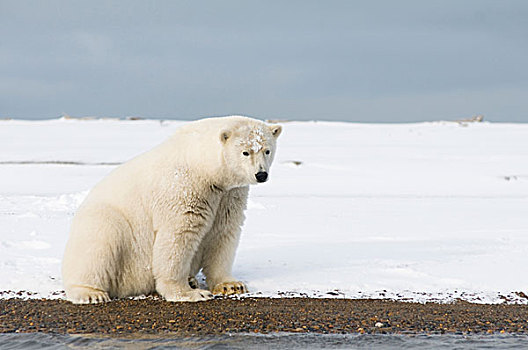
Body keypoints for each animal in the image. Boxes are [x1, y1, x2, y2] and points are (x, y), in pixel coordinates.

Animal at [61, 116, 280, 302]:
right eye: (246, 152)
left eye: (267, 150)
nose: (261, 174)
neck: (202, 166)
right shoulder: (184, 188)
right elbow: (178, 237)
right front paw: (190, 293)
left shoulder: (229, 195)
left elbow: (223, 232)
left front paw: (231, 285)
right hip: (107, 222)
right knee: (99, 244)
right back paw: (91, 293)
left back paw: (192, 279)